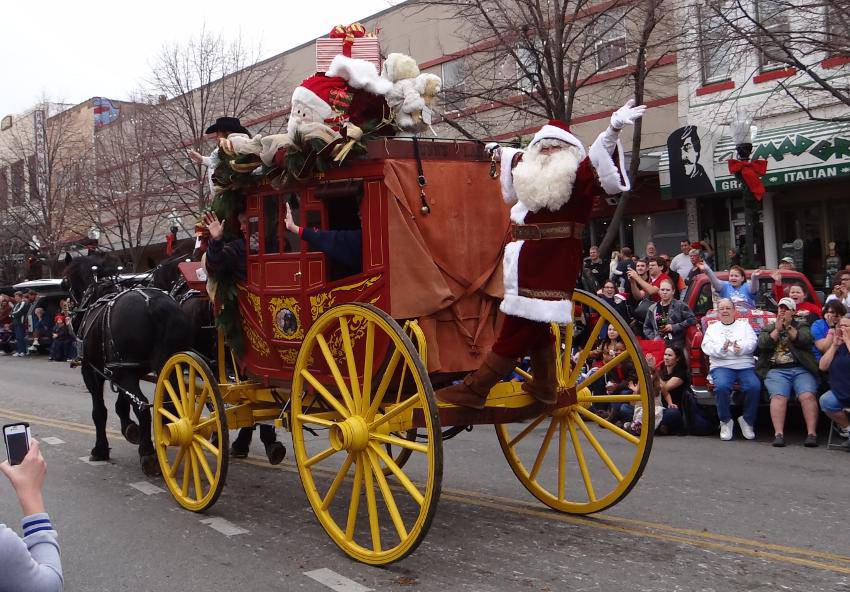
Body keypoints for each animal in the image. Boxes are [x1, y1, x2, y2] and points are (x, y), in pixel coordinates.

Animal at [66, 256, 192, 476]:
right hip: (166, 366)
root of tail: (154, 305)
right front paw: (130, 429)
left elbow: (99, 412)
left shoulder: (92, 371)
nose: (71, 314)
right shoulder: (123, 369)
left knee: (143, 407)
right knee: (168, 404)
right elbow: (122, 402)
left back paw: (149, 454)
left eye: (68, 282)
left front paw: (100, 449)